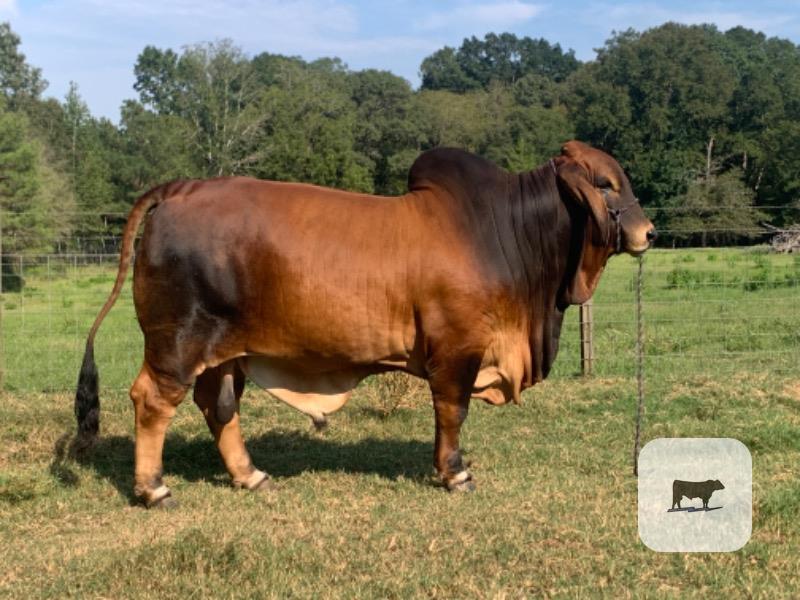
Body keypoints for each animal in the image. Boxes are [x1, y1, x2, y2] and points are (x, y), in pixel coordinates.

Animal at [74, 141, 655, 507]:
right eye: (606, 184)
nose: (648, 231)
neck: (503, 233)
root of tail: (180, 188)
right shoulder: (458, 351)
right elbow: (452, 413)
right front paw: (455, 474)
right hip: (177, 341)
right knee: (153, 401)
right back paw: (154, 489)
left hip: (224, 352)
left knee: (218, 406)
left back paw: (250, 476)